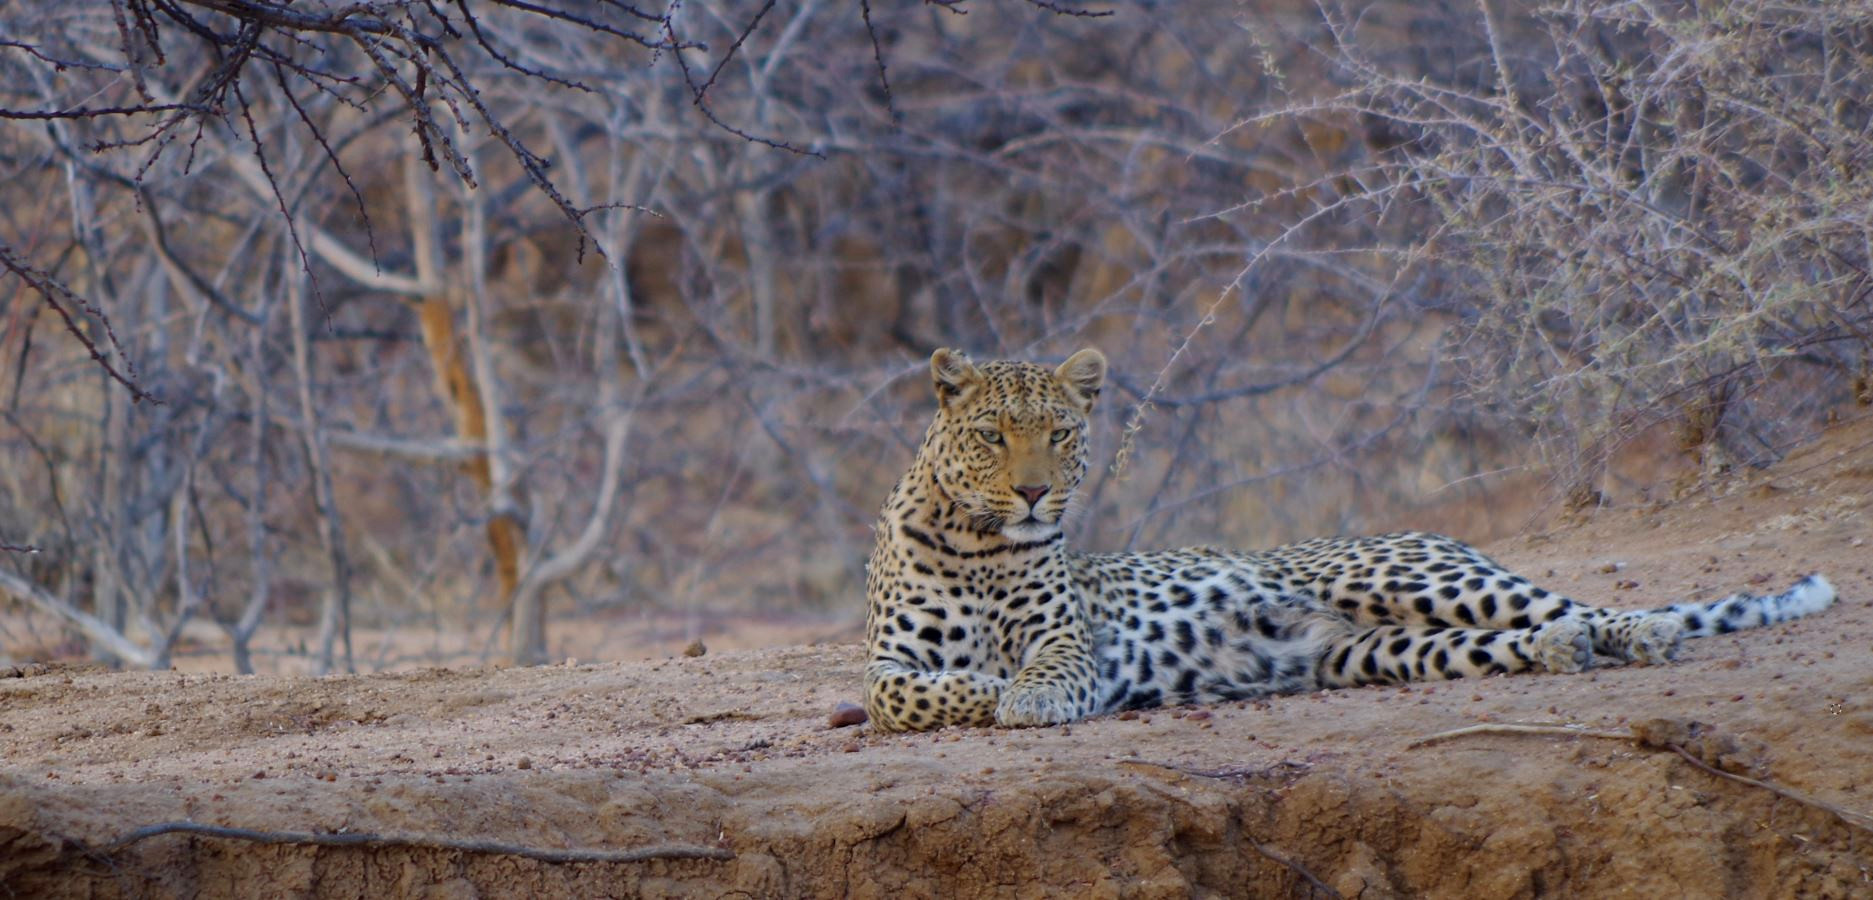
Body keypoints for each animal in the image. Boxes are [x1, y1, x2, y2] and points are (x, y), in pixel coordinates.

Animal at [865, 344, 1843, 729]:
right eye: (992, 435)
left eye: (1060, 434)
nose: (1034, 492)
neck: (977, 543)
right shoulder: (885, 667)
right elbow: (910, 693)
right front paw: (986, 687)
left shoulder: (1067, 638)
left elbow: (1042, 670)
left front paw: (1022, 695)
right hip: (1378, 649)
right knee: (1520, 637)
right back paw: (1561, 649)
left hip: (1417, 578)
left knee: (1584, 604)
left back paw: (1643, 631)